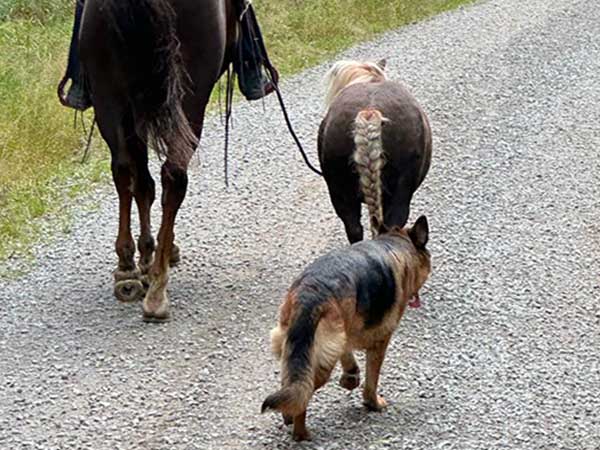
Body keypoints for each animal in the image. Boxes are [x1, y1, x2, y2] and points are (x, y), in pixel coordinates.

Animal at [79, 0, 237, 324]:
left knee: (127, 171)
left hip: (109, 97)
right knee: (172, 175)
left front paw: (141, 258)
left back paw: (132, 274)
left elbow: (142, 185)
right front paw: (150, 258)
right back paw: (155, 285)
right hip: (189, 95)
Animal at [262, 216, 432, 442]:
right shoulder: (380, 343)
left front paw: (350, 377)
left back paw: (288, 416)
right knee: (303, 394)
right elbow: (371, 380)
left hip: (294, 349)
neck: (394, 243)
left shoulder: (343, 335)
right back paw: (301, 433)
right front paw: (373, 403)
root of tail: (311, 294)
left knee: (291, 385)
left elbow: (348, 357)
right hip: (318, 365)